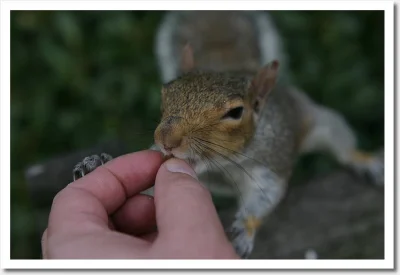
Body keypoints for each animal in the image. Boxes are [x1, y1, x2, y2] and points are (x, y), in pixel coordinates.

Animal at [72, 10, 384, 260]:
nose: (166, 140)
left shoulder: (270, 162)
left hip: (318, 120)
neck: (219, 166)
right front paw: (97, 163)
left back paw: (364, 160)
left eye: (236, 112)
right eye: (166, 91)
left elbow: (266, 195)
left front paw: (244, 229)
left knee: (340, 141)